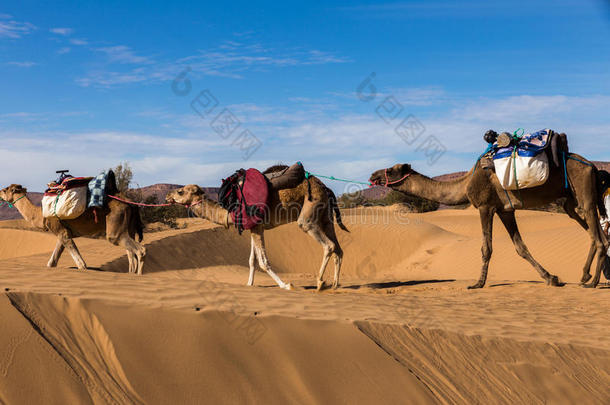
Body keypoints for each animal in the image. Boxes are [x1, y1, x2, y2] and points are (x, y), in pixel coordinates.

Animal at [0, 184, 146, 274]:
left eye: (6, 189)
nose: (0, 192)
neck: (40, 214)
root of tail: (130, 204)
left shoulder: (61, 230)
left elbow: (81, 264)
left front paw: (83, 267)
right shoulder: (64, 232)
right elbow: (52, 260)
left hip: (115, 227)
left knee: (139, 250)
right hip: (129, 227)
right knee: (131, 253)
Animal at [166, 166, 346, 288]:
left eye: (181, 192)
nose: (168, 196)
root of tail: (325, 186)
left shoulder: (257, 226)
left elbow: (263, 261)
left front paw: (286, 285)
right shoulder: (254, 228)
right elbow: (252, 260)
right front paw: (249, 284)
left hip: (311, 205)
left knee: (327, 243)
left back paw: (320, 282)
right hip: (325, 214)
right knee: (338, 247)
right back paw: (335, 284)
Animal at [368, 151, 604, 288]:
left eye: (391, 169)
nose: (373, 175)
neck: (465, 184)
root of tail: (592, 166)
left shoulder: (485, 207)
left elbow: (486, 248)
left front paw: (478, 283)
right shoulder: (505, 210)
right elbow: (520, 247)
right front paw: (551, 278)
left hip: (583, 191)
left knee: (598, 235)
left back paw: (592, 282)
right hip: (572, 200)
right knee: (597, 233)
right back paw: (586, 276)